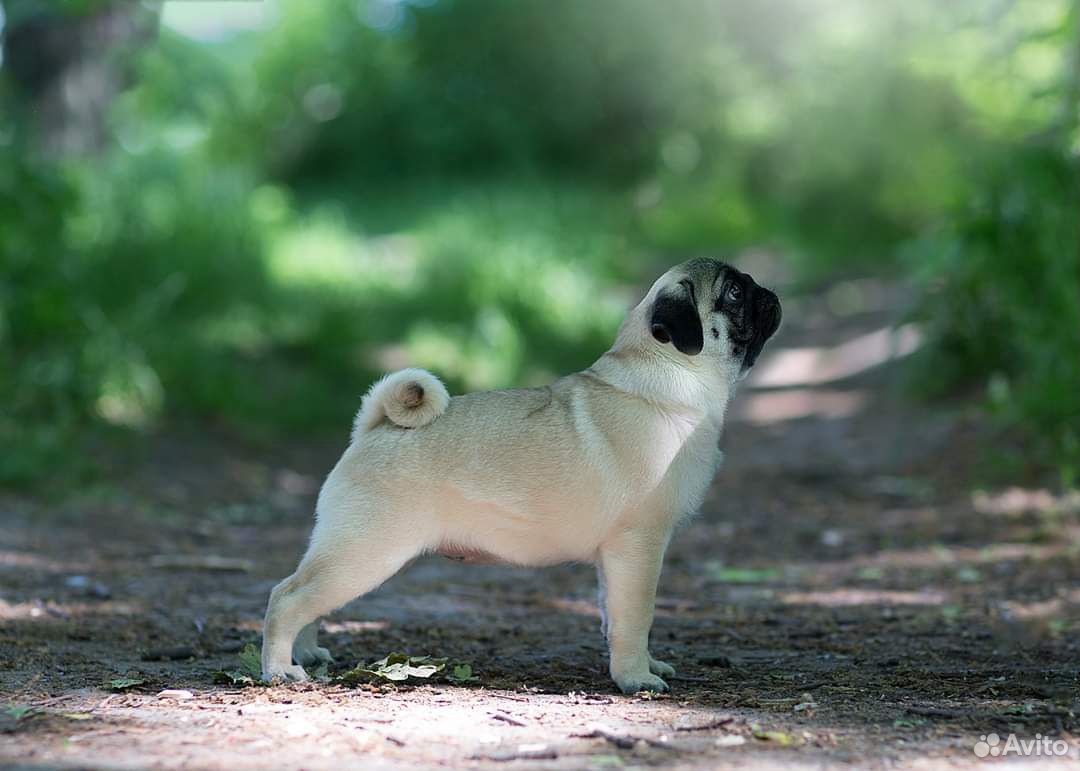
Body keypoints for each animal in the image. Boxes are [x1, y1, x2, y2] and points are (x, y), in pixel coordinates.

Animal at [264, 257, 781, 691]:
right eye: (735, 292)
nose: (768, 292)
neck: (672, 373)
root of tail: (375, 425)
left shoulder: (615, 559)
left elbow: (612, 615)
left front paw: (641, 665)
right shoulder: (639, 544)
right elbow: (637, 616)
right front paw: (636, 679)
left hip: (347, 550)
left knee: (307, 597)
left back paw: (308, 654)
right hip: (367, 551)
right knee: (287, 597)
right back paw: (280, 670)